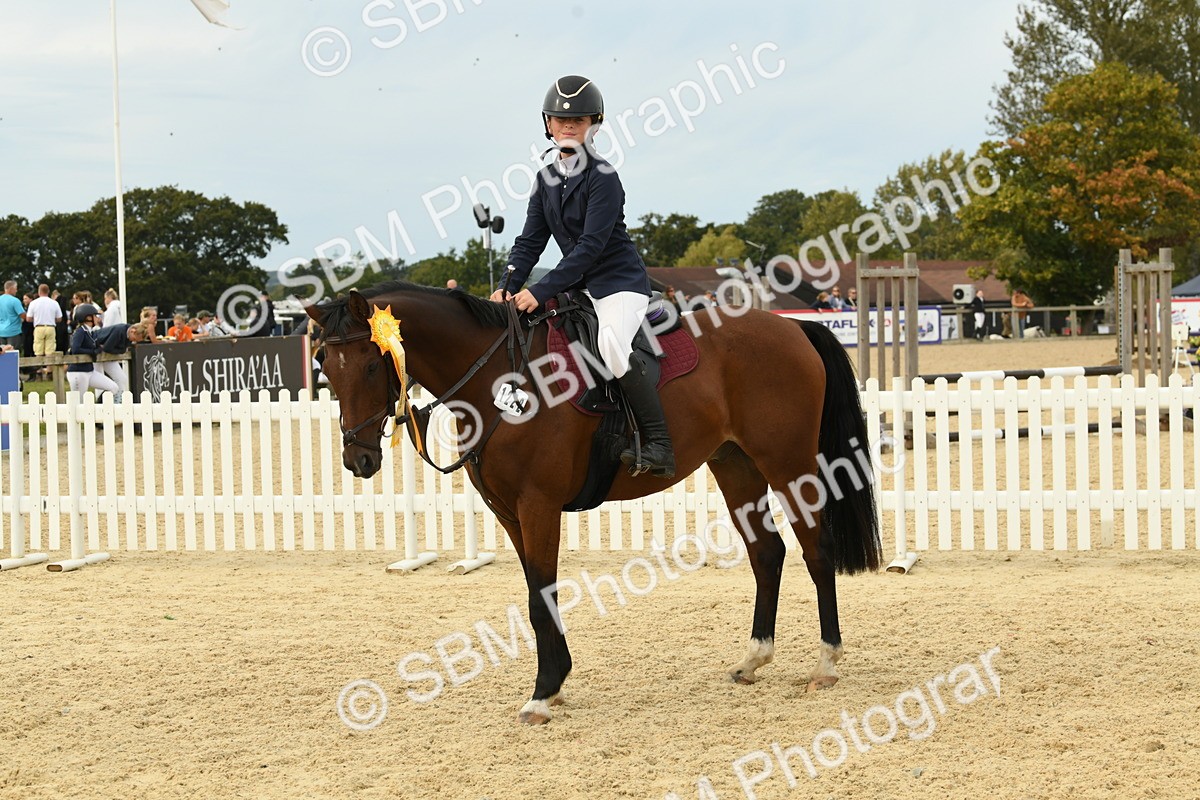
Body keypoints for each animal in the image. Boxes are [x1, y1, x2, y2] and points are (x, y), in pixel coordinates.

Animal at [307, 282, 880, 725]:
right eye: (325, 368)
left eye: (370, 366)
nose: (357, 458)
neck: (502, 380)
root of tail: (793, 329)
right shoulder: (509, 512)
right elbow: (539, 594)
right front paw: (555, 681)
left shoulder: (537, 505)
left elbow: (541, 598)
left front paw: (541, 695)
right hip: (736, 465)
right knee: (767, 553)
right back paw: (753, 658)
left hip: (788, 464)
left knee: (817, 551)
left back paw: (826, 664)